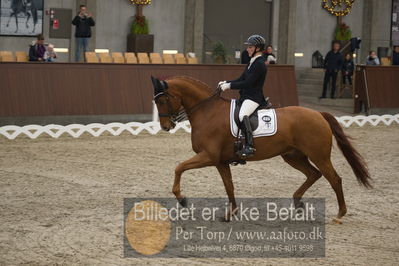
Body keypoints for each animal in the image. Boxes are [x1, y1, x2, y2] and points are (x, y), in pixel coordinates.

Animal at [152, 76, 374, 222]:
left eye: (162, 100)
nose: (165, 127)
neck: (207, 111)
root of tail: (319, 114)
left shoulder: (208, 156)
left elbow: (179, 167)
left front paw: (182, 199)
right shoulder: (220, 161)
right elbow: (229, 186)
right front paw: (231, 213)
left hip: (319, 156)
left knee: (334, 179)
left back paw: (339, 214)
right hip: (293, 156)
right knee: (314, 174)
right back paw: (298, 203)